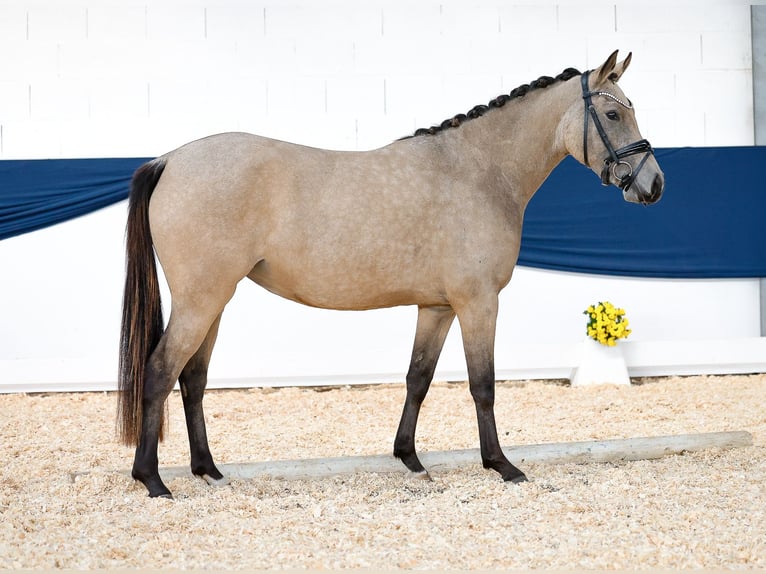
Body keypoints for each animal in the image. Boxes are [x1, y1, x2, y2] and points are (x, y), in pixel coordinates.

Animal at [118, 50, 664, 500]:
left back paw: (208, 470)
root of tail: (168, 160)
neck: (477, 171)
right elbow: (482, 384)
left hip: (213, 300)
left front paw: (411, 459)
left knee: (192, 379)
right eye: (613, 113)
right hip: (201, 300)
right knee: (161, 371)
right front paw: (501, 465)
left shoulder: (437, 306)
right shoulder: (478, 302)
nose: (653, 184)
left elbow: (417, 378)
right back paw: (152, 480)